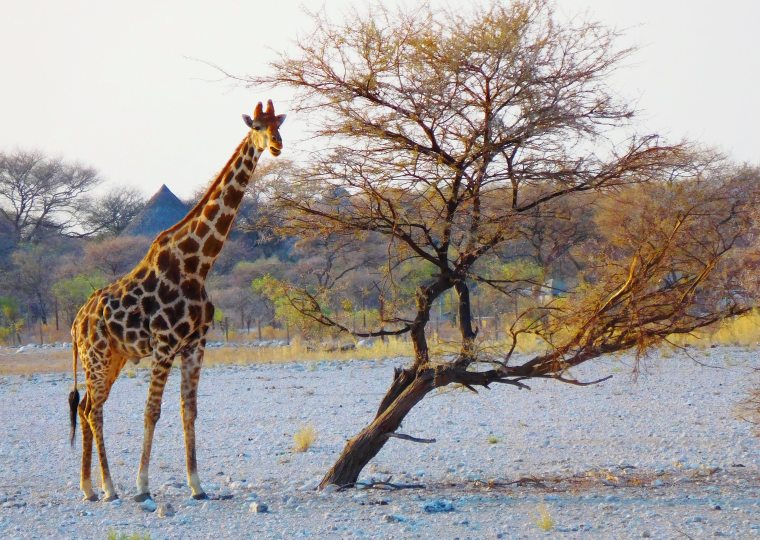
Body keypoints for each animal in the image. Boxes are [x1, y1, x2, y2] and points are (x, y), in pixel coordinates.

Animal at [67, 100, 285, 502]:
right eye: (257, 126)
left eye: (278, 124)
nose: (277, 145)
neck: (197, 264)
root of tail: (75, 324)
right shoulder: (165, 344)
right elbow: (151, 411)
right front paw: (142, 486)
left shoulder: (196, 344)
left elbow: (189, 410)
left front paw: (197, 485)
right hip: (97, 355)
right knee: (93, 410)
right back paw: (108, 487)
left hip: (114, 356)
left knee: (89, 405)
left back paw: (90, 487)